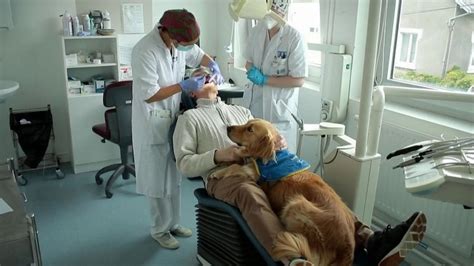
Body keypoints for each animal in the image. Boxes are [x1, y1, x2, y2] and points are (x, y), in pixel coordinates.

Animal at [214, 119, 356, 266]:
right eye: (246, 123)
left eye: (250, 129)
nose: (228, 127)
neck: (273, 154)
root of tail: (347, 250)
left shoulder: (255, 171)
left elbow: (236, 166)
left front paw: (218, 173)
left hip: (296, 203)